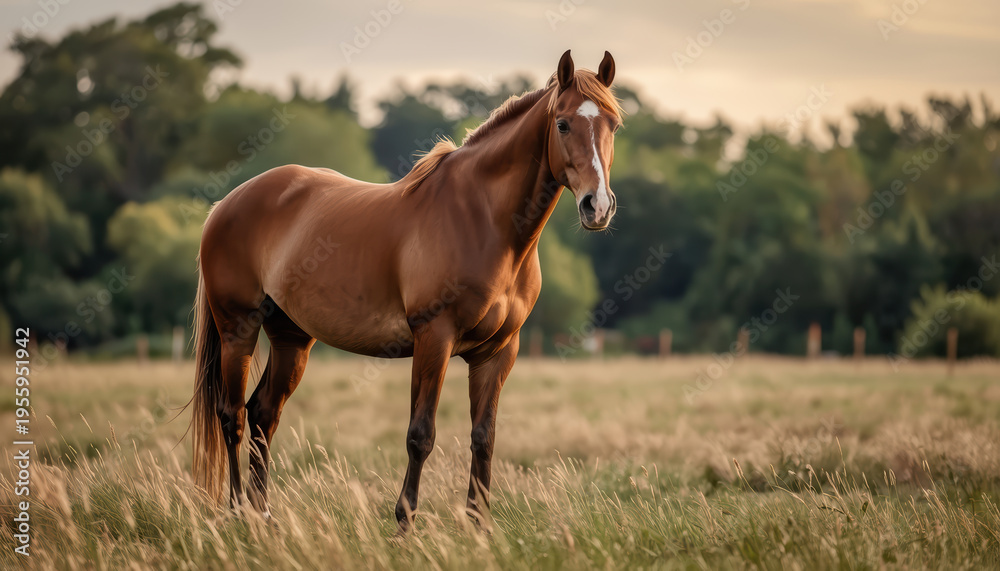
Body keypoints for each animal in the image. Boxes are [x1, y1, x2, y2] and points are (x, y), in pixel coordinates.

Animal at [189, 50, 623, 531]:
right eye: (563, 124)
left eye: (614, 124)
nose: (597, 206)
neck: (483, 221)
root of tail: (226, 203)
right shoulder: (434, 338)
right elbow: (421, 435)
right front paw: (405, 524)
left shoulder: (498, 352)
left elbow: (484, 438)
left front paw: (480, 527)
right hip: (238, 330)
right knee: (232, 417)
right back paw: (237, 515)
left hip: (291, 337)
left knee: (264, 414)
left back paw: (264, 518)